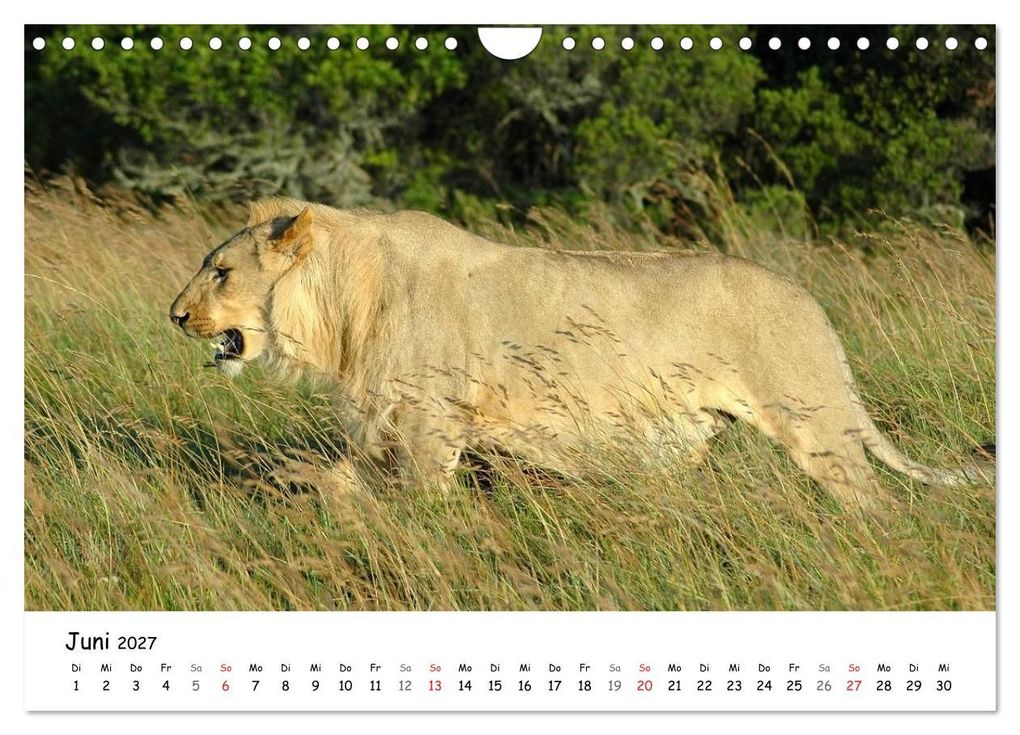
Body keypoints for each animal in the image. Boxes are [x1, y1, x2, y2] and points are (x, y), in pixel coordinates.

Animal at [169, 198, 987, 507]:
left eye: (221, 271)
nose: (174, 316)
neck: (339, 315)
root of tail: (814, 307)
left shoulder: (432, 424)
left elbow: (422, 507)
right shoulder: (383, 426)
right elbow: (339, 482)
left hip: (815, 425)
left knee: (874, 503)